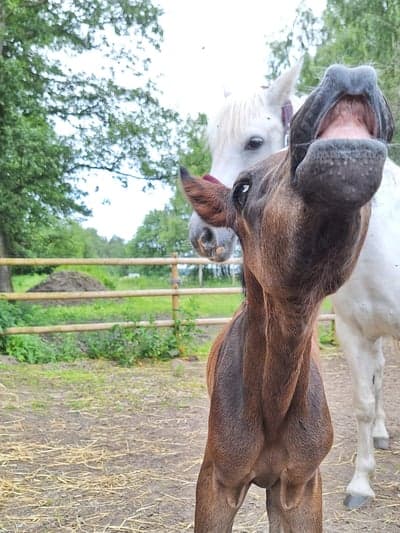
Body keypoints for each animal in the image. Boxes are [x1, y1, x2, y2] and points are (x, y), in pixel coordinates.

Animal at [182, 64, 394, 528]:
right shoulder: (217, 481)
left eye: (253, 140)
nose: (350, 75)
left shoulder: (299, 485)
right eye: (241, 189)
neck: (274, 402)